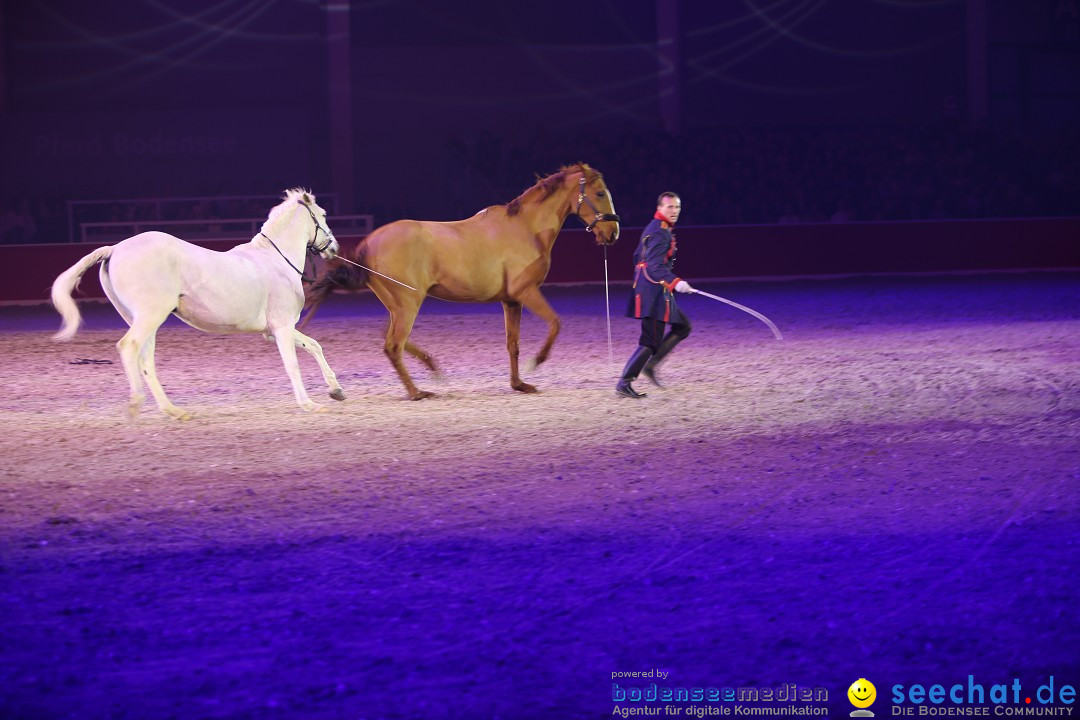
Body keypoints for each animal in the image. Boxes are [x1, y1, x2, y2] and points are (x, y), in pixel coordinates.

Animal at [52, 188, 343, 418]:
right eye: (323, 214)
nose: (334, 248)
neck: (275, 260)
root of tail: (114, 249)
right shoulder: (281, 327)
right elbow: (292, 364)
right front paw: (309, 404)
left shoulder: (274, 330)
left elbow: (314, 346)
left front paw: (336, 391)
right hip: (150, 316)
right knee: (129, 347)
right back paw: (136, 404)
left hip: (141, 319)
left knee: (146, 361)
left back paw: (174, 411)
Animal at [304, 162, 626, 399]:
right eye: (599, 193)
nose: (612, 234)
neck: (526, 228)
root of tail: (368, 245)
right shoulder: (526, 292)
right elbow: (555, 323)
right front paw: (537, 362)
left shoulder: (511, 301)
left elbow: (513, 344)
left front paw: (519, 385)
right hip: (408, 304)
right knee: (393, 345)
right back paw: (417, 392)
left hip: (398, 306)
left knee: (391, 339)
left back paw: (431, 368)